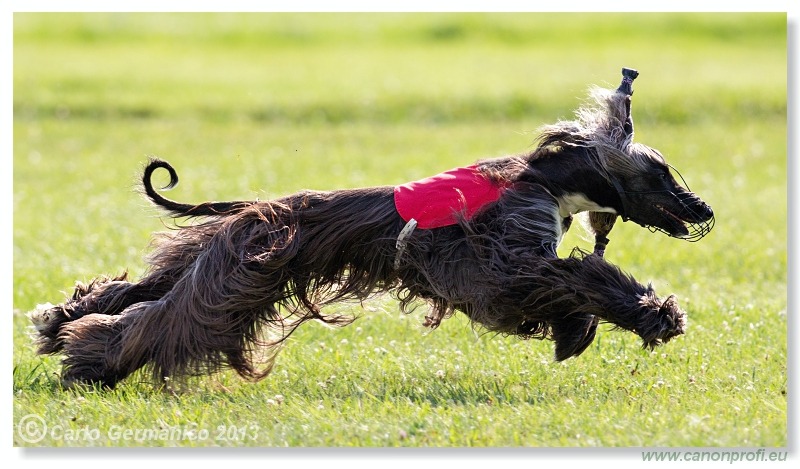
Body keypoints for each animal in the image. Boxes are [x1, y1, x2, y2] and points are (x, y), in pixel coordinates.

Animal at [31, 67, 716, 386]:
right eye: (661, 172)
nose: (702, 209)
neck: (548, 180)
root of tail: (259, 206)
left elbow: (571, 285)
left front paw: (580, 330)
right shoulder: (494, 262)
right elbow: (575, 279)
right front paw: (653, 314)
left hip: (207, 259)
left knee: (137, 291)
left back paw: (62, 326)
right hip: (236, 275)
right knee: (167, 318)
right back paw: (91, 360)